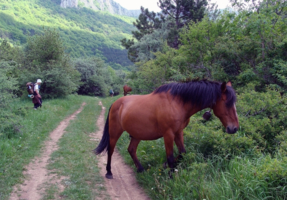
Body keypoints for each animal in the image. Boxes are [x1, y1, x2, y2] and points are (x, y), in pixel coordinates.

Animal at [95, 79, 240, 178]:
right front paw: (170, 176)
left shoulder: (178, 132)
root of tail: (117, 103)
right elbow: (170, 157)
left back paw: (141, 169)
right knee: (111, 150)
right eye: (227, 103)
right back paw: (109, 172)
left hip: (137, 134)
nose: (234, 128)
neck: (177, 103)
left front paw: (165, 166)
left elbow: (182, 153)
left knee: (131, 150)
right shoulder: (168, 134)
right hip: (115, 132)